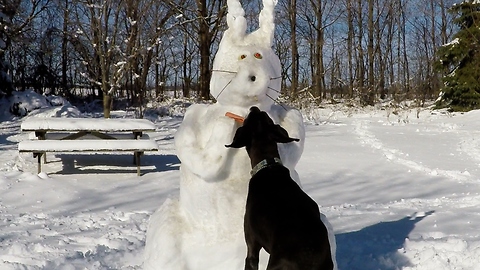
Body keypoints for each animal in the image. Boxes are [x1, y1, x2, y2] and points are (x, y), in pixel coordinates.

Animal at [226, 106, 332, 268]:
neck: (269, 165)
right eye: (265, 116)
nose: (254, 107)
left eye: (248, 118)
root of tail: (309, 256)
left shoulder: (252, 246)